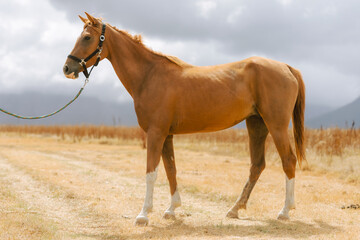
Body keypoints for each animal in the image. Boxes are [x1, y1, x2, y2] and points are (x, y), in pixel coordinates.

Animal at [63, 13, 306, 226]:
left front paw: (143, 215)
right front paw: (172, 209)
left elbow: (151, 172)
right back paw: (234, 209)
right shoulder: (166, 135)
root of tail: (287, 67)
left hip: (276, 125)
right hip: (256, 124)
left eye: (87, 37)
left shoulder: (155, 133)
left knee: (288, 160)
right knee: (257, 165)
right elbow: (171, 169)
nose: (67, 68)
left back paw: (285, 212)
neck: (150, 76)